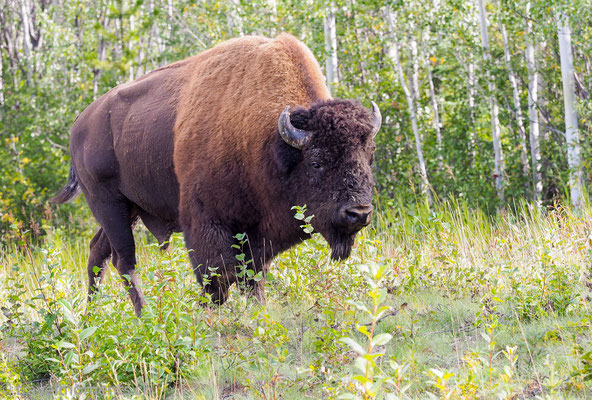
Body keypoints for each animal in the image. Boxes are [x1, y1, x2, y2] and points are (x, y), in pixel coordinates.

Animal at [53, 33, 382, 316]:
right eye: (316, 162)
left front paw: (259, 312)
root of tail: (80, 123)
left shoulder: (255, 232)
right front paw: (209, 314)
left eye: (369, 157)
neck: (266, 140)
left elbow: (252, 276)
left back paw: (92, 314)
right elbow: (218, 276)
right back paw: (144, 316)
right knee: (124, 260)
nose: (358, 213)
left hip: (128, 209)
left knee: (98, 252)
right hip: (108, 204)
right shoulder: (207, 221)